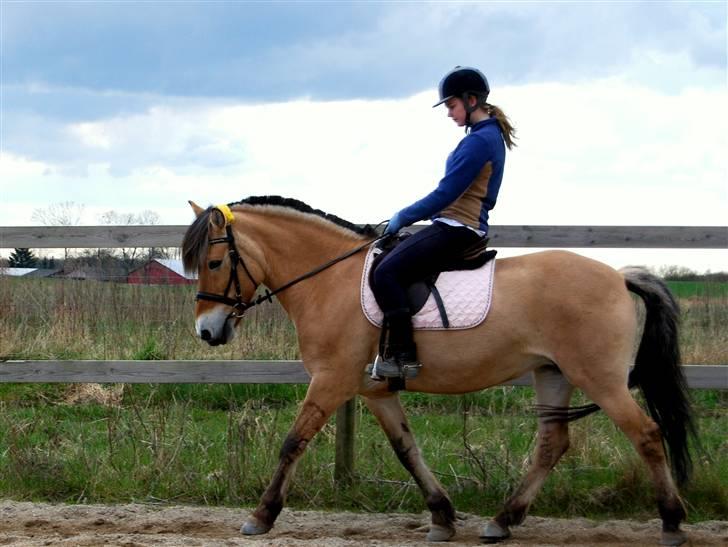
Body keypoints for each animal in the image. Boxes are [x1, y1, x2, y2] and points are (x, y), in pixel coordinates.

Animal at [181, 195, 692, 544]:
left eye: (214, 261)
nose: (207, 331)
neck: (329, 281)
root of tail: (619, 276)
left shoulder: (331, 380)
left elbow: (293, 442)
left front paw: (261, 516)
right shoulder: (375, 390)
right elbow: (407, 450)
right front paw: (442, 516)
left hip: (598, 377)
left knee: (647, 434)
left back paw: (671, 521)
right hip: (553, 373)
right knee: (553, 443)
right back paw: (502, 520)